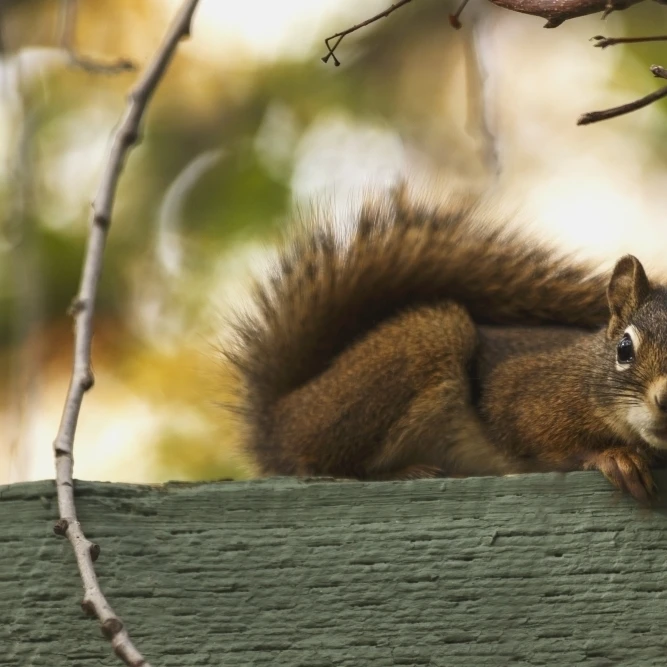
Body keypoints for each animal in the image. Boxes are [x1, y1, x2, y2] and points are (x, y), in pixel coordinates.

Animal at [224, 188, 667, 504]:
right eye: (624, 349)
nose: (664, 399)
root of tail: (278, 418)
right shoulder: (529, 390)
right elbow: (534, 432)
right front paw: (614, 457)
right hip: (421, 347)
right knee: (320, 464)